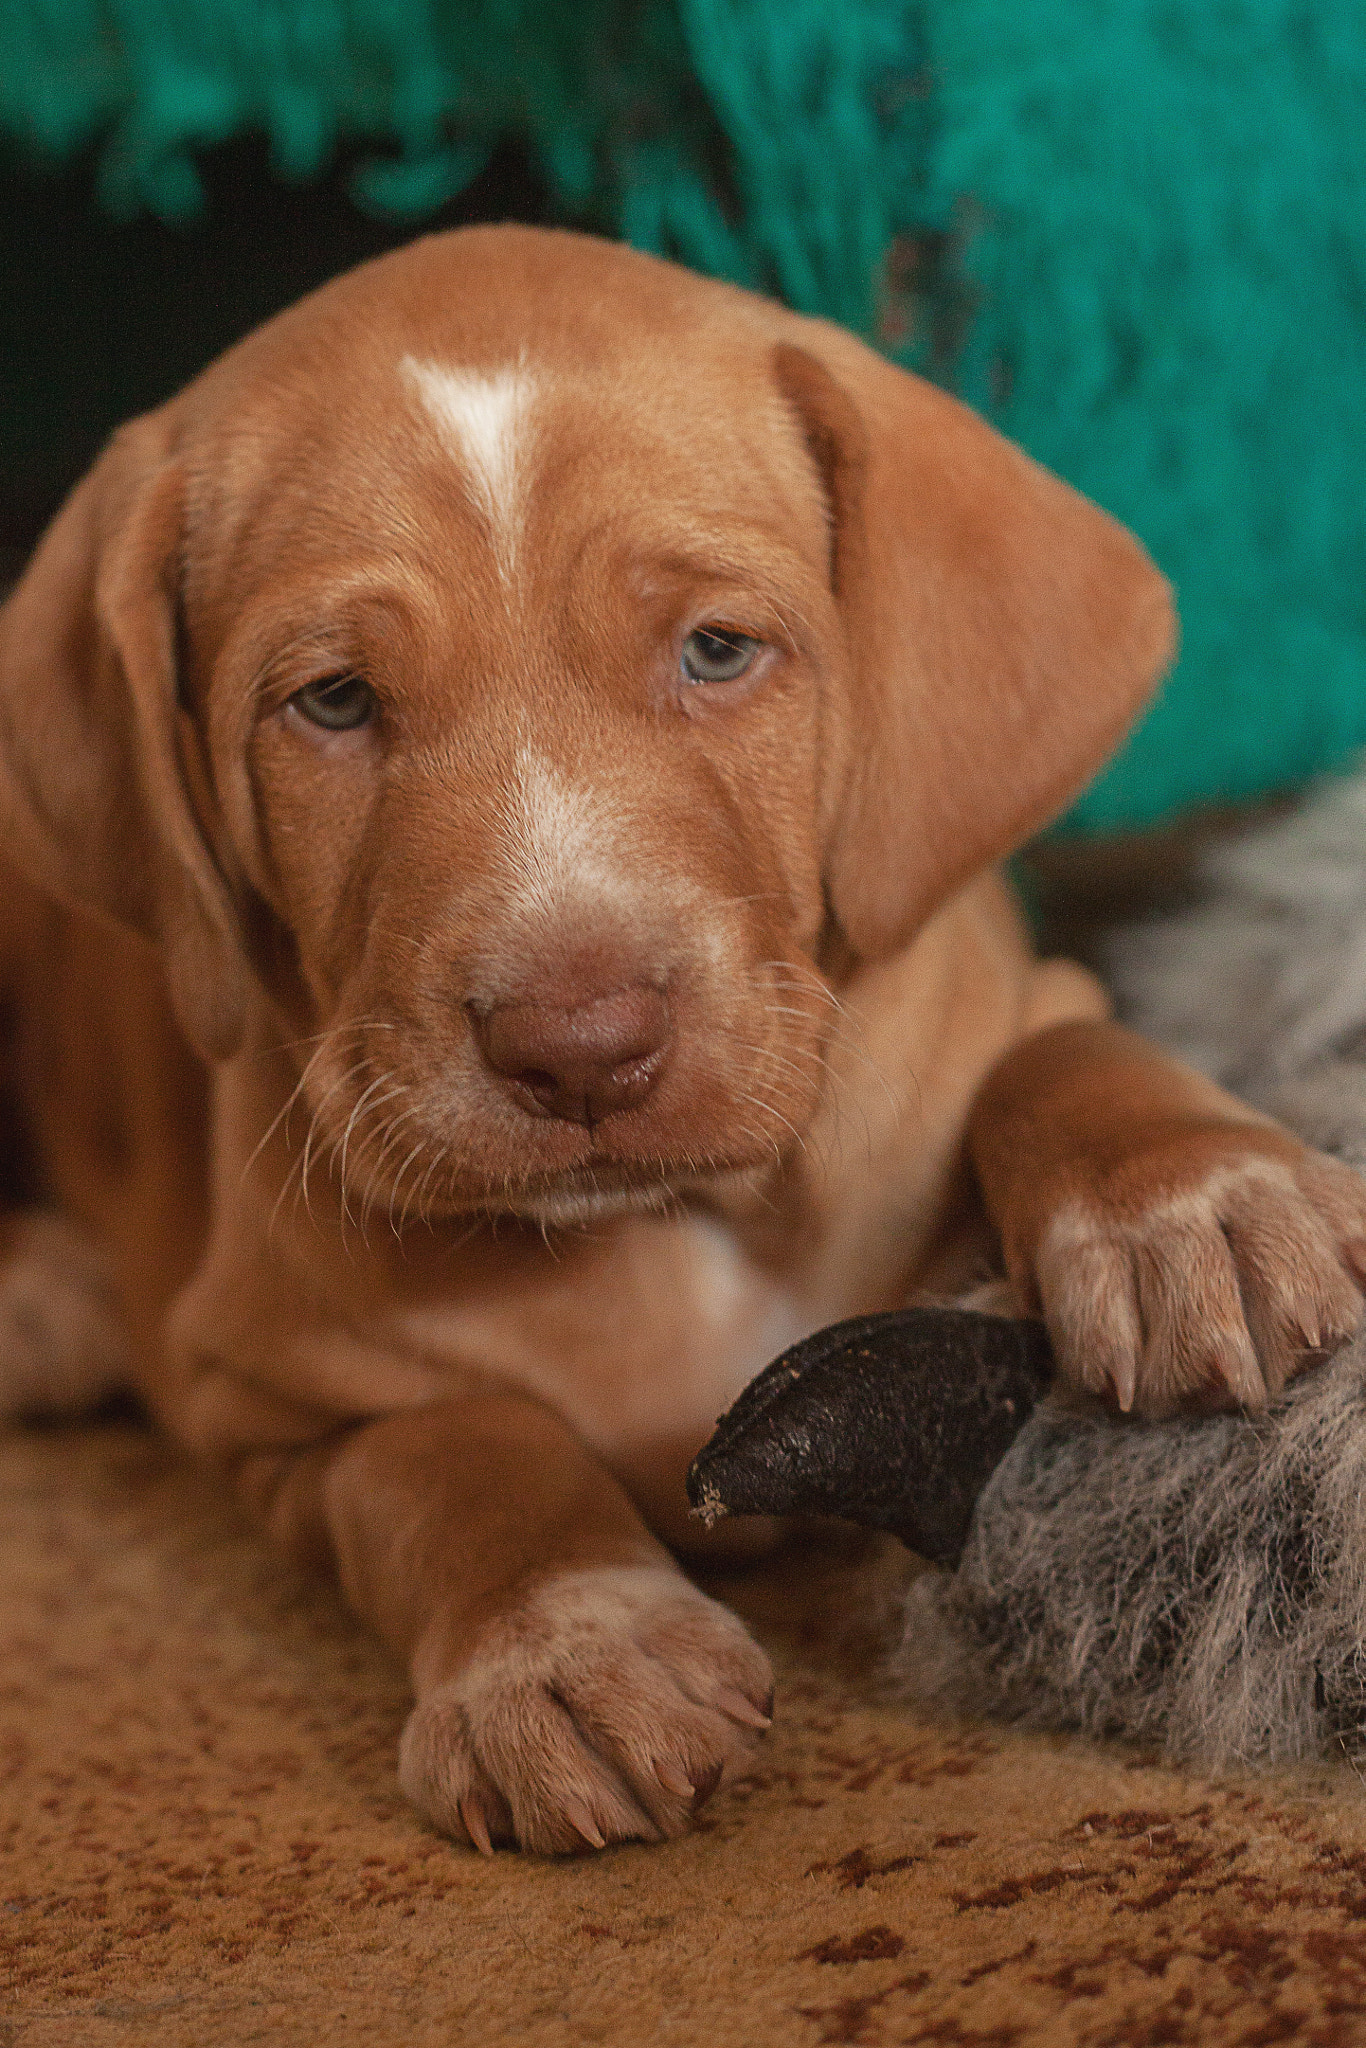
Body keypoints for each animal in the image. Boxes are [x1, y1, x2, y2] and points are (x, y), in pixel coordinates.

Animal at [2, 228, 1366, 1859]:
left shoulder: (998, 991)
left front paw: (1193, 1202)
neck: (675, 1225)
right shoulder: (274, 1406)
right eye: (331, 700)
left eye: (717, 651)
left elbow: (1057, 1059)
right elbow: (456, 1456)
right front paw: (562, 1644)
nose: (580, 1047)